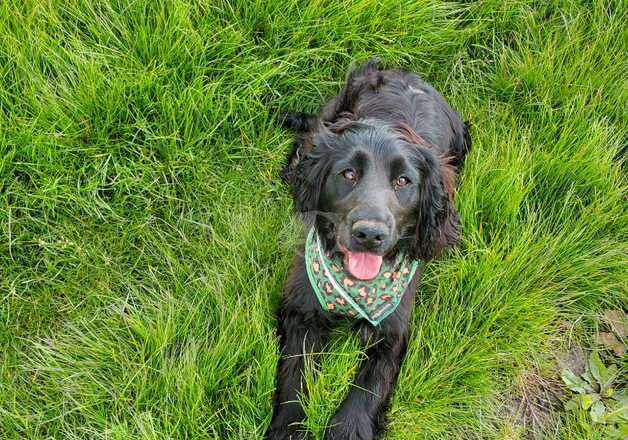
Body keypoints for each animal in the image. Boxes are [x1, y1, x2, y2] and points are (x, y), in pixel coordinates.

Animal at [264, 59, 472, 440]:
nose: (369, 234)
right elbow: (295, 375)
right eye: (348, 174)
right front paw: (289, 428)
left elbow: (370, 385)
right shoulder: (301, 308)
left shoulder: (394, 328)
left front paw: (349, 427)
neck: (355, 286)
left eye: (404, 181)